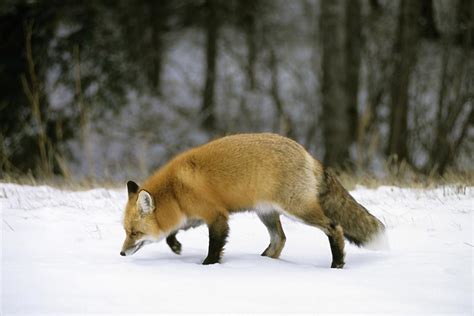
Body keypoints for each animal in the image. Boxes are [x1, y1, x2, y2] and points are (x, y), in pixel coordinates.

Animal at [120, 132, 386, 268]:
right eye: (126, 231)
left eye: (134, 233)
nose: (121, 253)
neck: (176, 191)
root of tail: (308, 155)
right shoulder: (191, 218)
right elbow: (171, 234)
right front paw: (176, 247)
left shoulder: (217, 216)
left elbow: (214, 247)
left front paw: (207, 265)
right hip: (266, 213)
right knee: (280, 239)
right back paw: (264, 263)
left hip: (298, 210)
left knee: (335, 227)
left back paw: (337, 264)